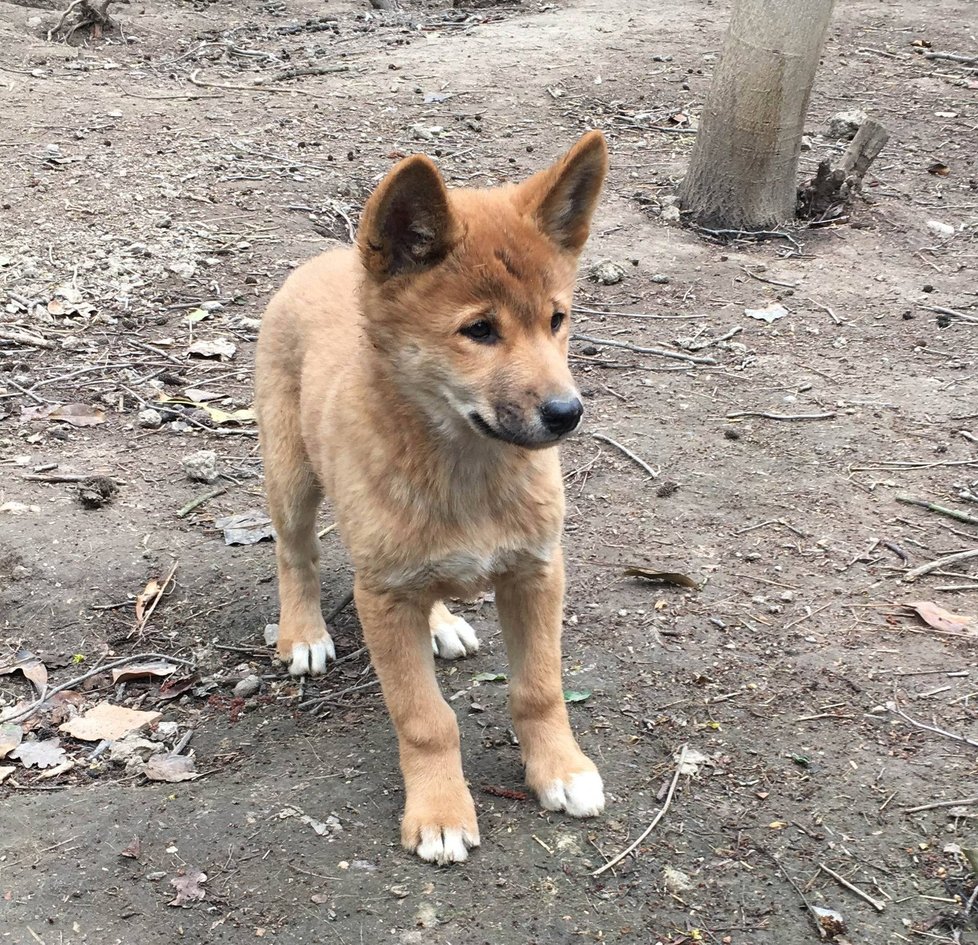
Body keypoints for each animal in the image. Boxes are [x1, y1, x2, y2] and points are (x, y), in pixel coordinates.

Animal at [258, 131, 608, 864]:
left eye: (556, 320)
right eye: (479, 330)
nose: (567, 414)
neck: (467, 469)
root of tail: (327, 257)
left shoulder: (537, 573)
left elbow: (539, 689)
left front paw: (560, 769)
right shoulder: (384, 597)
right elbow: (425, 719)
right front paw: (441, 809)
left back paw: (443, 621)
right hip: (291, 476)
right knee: (295, 556)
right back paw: (304, 632)